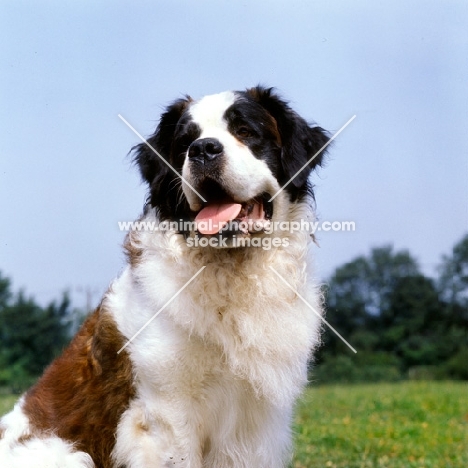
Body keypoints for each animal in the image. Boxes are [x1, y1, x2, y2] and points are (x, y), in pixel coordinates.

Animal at [0, 86, 330, 466]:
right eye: (185, 142)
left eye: (245, 131)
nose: (203, 149)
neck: (231, 271)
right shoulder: (166, 414)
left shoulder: (255, 425)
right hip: (67, 454)